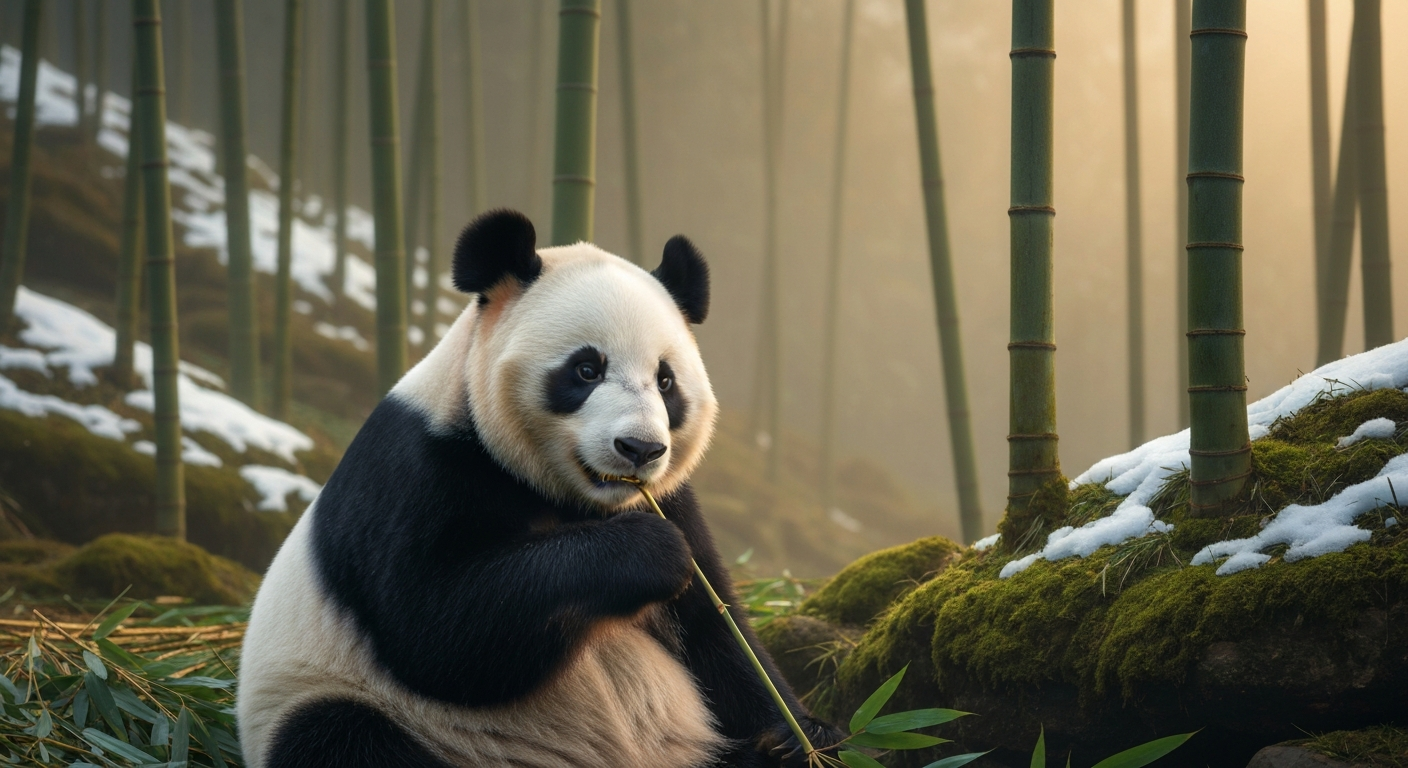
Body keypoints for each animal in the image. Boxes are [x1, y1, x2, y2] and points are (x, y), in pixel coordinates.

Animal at [237, 209, 844, 768]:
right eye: (586, 369)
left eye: (666, 380)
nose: (640, 449)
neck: (572, 501)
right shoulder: (416, 473)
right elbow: (434, 628)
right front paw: (648, 552)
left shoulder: (675, 500)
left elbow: (717, 633)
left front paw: (802, 737)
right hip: (346, 703)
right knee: (340, 734)